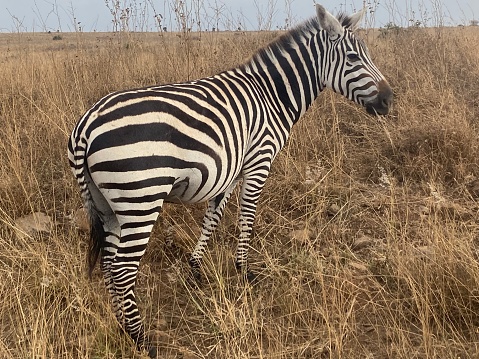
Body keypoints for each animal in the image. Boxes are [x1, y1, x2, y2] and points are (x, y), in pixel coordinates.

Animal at [68, 2, 394, 358]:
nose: (389, 99)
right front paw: (245, 271)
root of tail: (86, 125)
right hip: (140, 198)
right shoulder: (259, 159)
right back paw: (143, 340)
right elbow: (247, 217)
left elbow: (214, 216)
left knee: (108, 266)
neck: (272, 96)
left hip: (108, 205)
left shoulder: (228, 169)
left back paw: (122, 329)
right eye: (353, 58)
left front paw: (196, 267)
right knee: (122, 270)